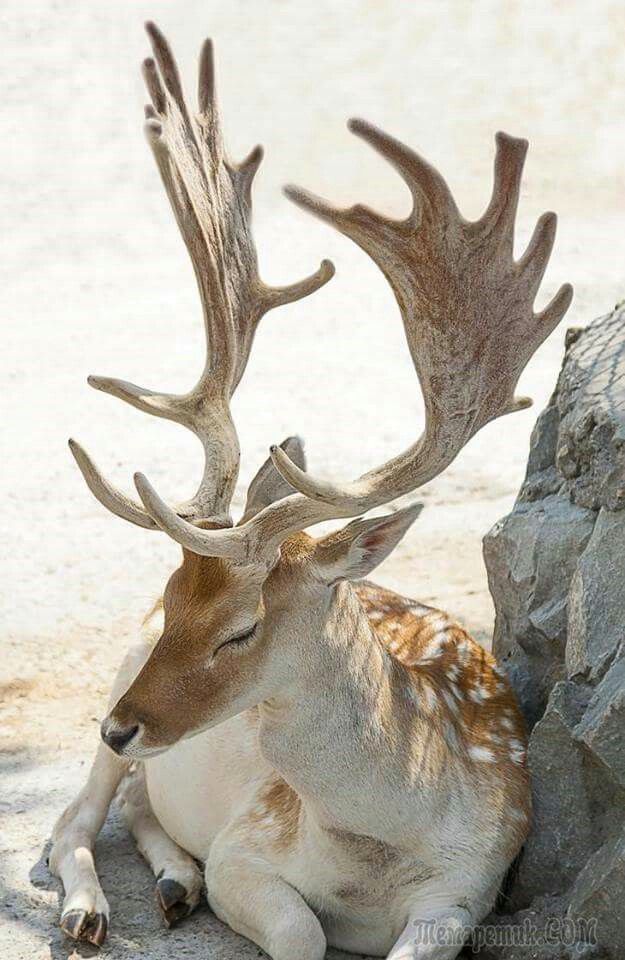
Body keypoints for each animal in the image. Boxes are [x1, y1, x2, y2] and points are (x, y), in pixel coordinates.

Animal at [50, 22, 572, 960]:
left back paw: (172, 882)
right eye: (174, 602)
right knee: (72, 818)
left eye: (240, 629)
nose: (121, 723)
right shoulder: (247, 848)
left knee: (139, 804)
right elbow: (296, 929)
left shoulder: (472, 888)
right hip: (116, 677)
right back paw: (90, 910)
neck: (377, 850)